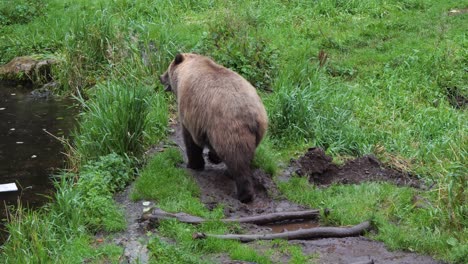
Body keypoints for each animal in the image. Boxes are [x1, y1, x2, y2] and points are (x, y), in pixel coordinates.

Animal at [160, 52, 266, 203]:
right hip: (256, 132)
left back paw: (244, 194)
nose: (160, 77)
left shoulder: (191, 111)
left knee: (237, 159)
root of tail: (252, 115)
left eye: (167, 70)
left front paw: (194, 164)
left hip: (229, 127)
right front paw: (212, 157)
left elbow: (190, 140)